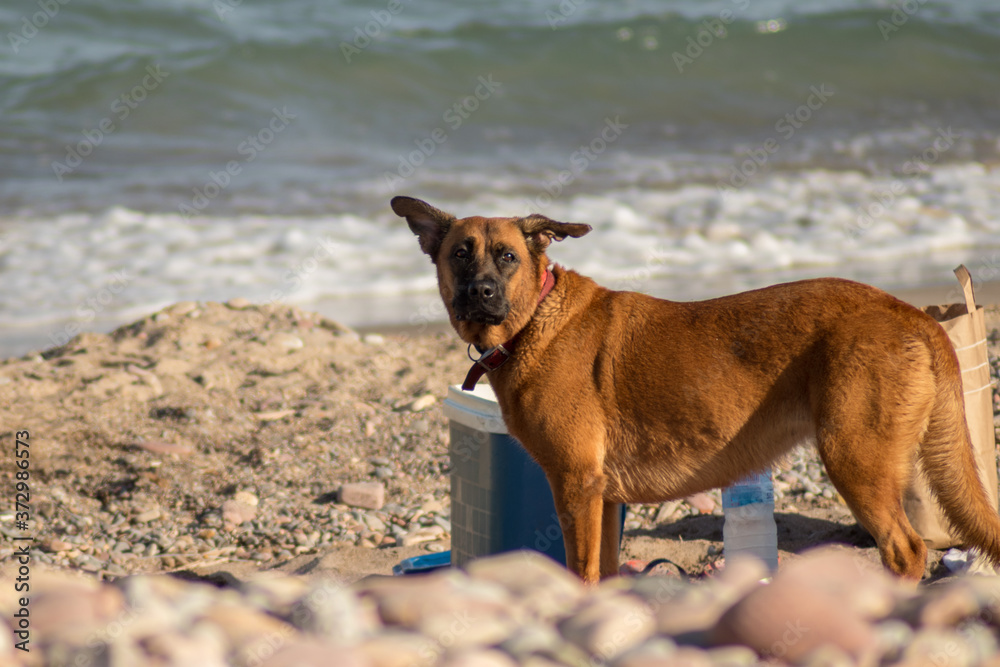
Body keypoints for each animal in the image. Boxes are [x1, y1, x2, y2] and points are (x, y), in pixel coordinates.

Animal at [390, 196, 1000, 580]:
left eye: (508, 257)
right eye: (460, 254)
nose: (481, 292)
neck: (535, 318)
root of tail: (906, 312)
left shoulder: (575, 487)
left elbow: (580, 571)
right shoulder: (602, 498)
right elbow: (604, 572)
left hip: (855, 459)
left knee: (906, 551)